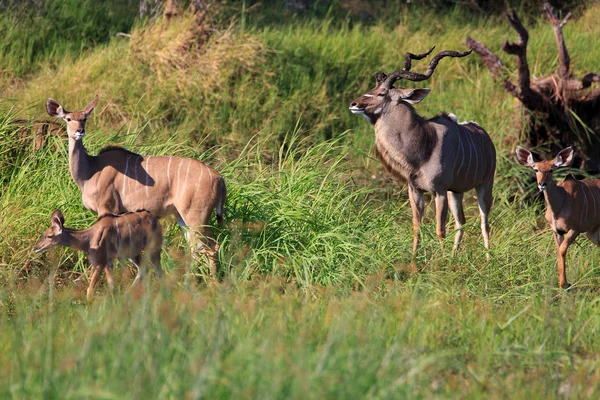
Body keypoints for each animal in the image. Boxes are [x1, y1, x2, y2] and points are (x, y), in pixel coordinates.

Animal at [34, 209, 162, 300]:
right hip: (132, 253)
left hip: (153, 248)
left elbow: (90, 290)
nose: (36, 248)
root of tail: (155, 219)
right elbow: (112, 286)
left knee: (159, 271)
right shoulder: (108, 262)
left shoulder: (100, 262)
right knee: (143, 269)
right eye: (43, 234)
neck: (88, 241)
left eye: (50, 236)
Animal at [45, 97, 226, 278]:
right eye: (68, 119)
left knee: (211, 247)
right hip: (182, 217)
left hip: (196, 217)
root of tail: (218, 177)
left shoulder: (107, 209)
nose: (80, 131)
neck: (91, 171)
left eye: (84, 118)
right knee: (196, 248)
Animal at [346, 45, 496, 255]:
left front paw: (440, 262)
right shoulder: (415, 190)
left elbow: (440, 230)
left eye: (382, 93)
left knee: (484, 222)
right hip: (456, 192)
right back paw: (454, 256)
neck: (424, 146)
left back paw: (488, 257)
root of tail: (486, 138)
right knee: (461, 222)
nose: (354, 104)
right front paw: (415, 259)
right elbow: (417, 227)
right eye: (372, 89)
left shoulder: (439, 190)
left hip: (485, 184)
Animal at [512, 146, 600, 288]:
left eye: (551, 170)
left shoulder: (575, 229)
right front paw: (562, 283)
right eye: (536, 169)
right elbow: (559, 251)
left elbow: (563, 249)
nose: (542, 184)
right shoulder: (557, 230)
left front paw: (564, 284)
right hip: (591, 232)